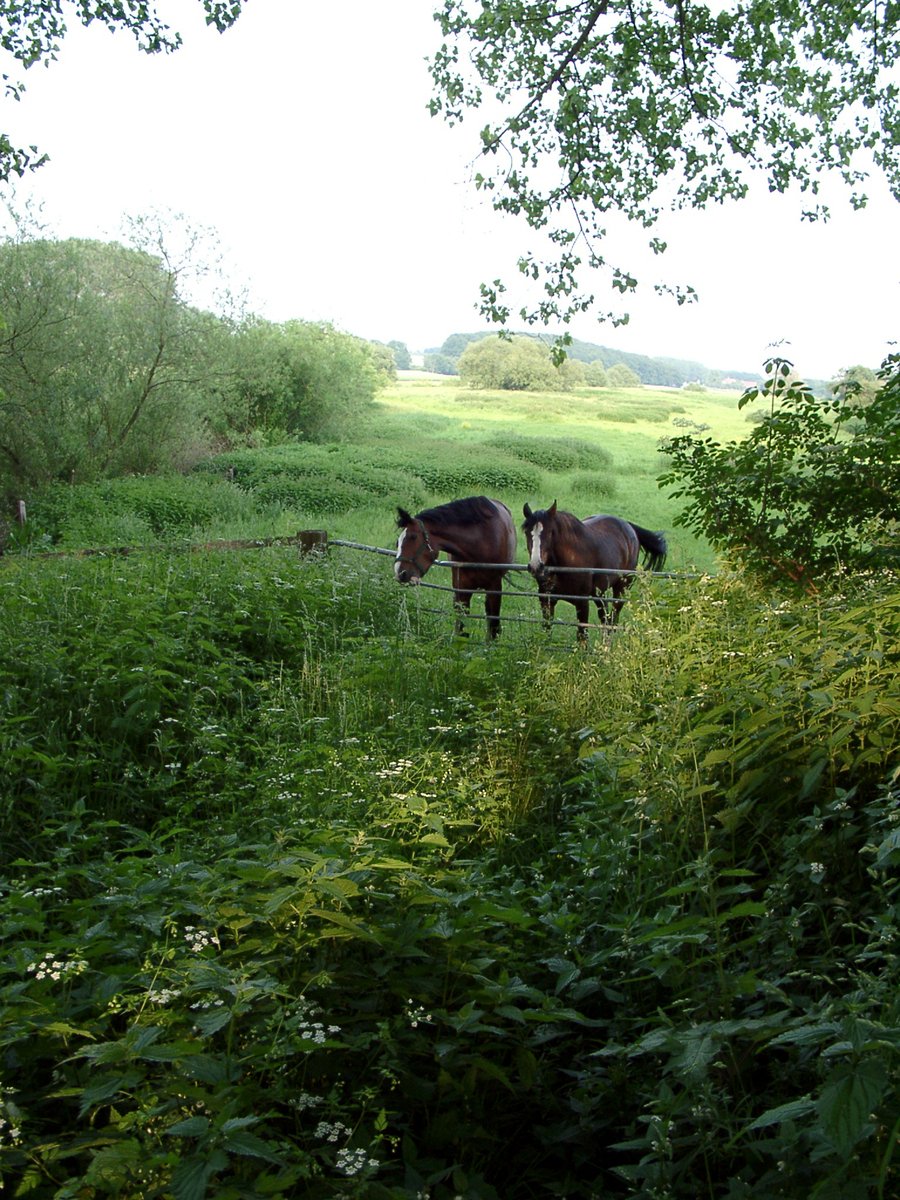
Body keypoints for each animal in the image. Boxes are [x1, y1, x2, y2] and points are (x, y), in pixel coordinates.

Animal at [393, 494, 513, 638]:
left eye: (413, 537)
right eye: (398, 542)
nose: (399, 572)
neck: (480, 542)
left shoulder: (494, 588)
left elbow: (493, 624)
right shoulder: (461, 588)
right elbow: (461, 627)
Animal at [525, 501, 667, 643]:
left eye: (550, 533)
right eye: (527, 532)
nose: (536, 566)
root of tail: (628, 526)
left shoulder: (582, 602)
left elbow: (582, 635)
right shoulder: (546, 599)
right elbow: (547, 631)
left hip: (621, 589)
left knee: (613, 620)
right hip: (600, 593)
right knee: (605, 618)